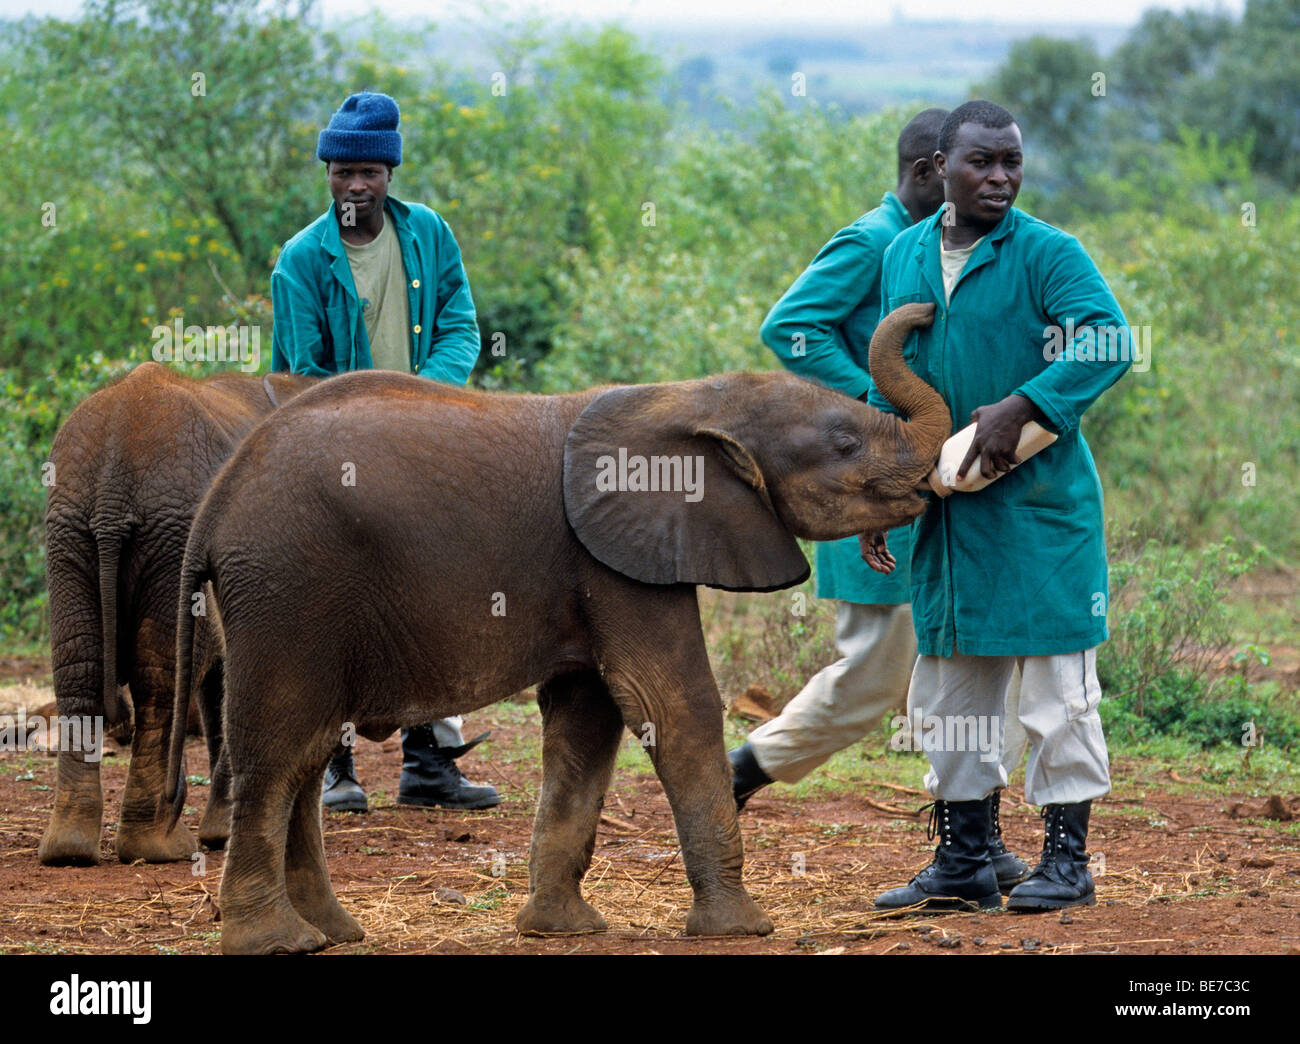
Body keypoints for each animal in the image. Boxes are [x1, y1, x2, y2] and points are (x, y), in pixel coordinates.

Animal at [41, 364, 317, 868]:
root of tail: (112, 485)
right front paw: (223, 834)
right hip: (168, 533)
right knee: (160, 681)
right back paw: (160, 847)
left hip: (68, 528)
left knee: (79, 670)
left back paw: (69, 850)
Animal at [170, 301, 946, 956]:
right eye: (845, 444)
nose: (925, 312)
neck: (694, 396)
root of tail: (215, 506)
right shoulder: (618, 558)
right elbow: (671, 703)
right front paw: (742, 929)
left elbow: (588, 717)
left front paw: (561, 928)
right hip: (289, 588)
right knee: (278, 752)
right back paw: (275, 942)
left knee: (304, 753)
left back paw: (332, 934)